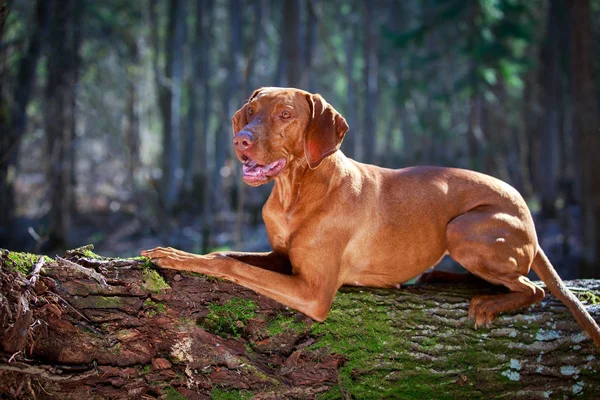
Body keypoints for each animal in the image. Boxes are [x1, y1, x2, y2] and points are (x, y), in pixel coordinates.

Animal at [143, 86, 600, 346]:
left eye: (285, 115)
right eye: (251, 113)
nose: (241, 140)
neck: (296, 191)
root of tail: (528, 216)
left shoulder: (313, 293)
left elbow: (229, 264)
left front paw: (174, 256)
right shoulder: (281, 258)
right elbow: (231, 256)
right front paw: (184, 254)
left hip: (463, 228)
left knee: (533, 288)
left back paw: (489, 302)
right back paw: (437, 276)